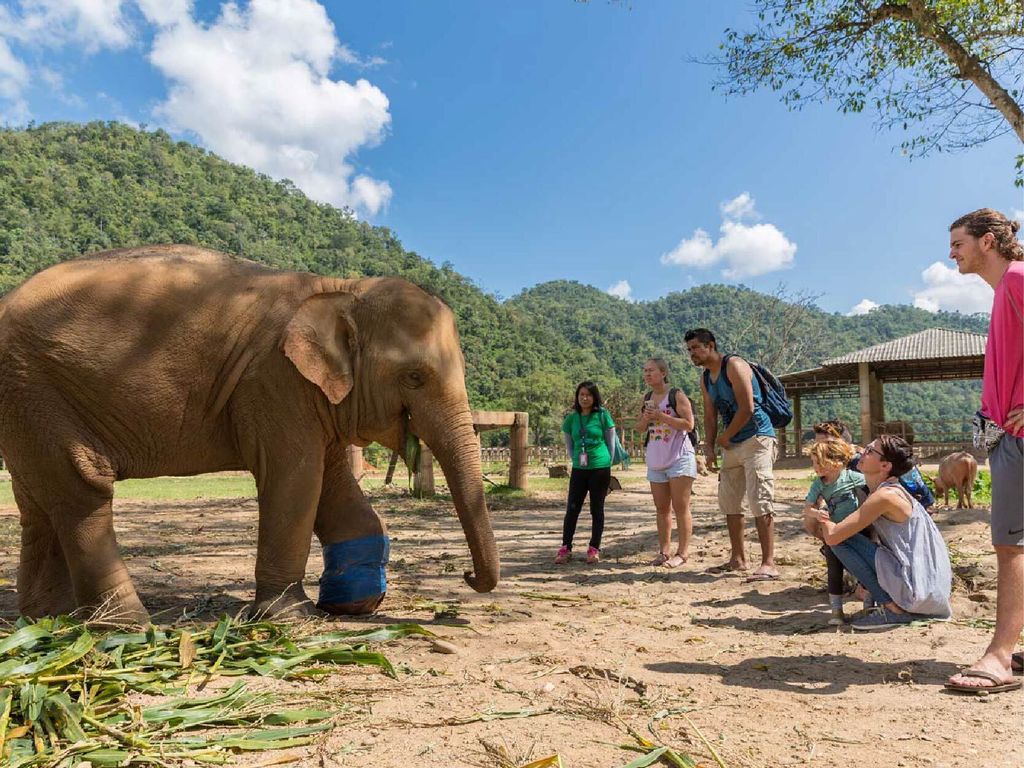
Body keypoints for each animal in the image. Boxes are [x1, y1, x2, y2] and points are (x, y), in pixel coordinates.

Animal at [0, 246, 497, 626]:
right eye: (414, 377)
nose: (467, 580)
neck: (342, 288)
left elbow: (333, 483)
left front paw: (353, 604)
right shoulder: (274, 382)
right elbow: (296, 481)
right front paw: (291, 618)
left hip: (25, 404)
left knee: (40, 505)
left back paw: (49, 619)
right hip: (35, 389)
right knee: (82, 492)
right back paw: (127, 627)